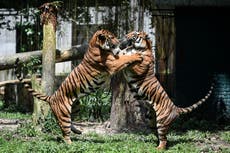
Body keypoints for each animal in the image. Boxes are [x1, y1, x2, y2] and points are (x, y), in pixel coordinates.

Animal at [14, 29, 143, 144]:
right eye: (111, 37)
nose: (119, 41)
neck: (95, 45)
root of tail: (52, 97)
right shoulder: (113, 64)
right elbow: (125, 58)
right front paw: (137, 56)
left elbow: (123, 54)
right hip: (64, 113)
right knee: (65, 132)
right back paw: (71, 144)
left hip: (75, 107)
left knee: (69, 122)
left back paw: (78, 131)